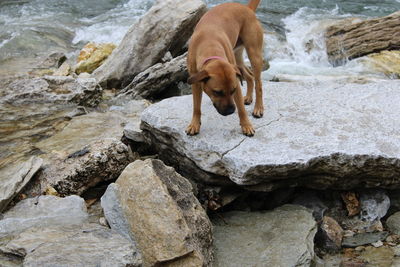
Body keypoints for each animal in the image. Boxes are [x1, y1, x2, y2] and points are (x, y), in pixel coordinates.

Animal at [186, 0, 264, 137]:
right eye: (217, 92)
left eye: (233, 90)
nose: (230, 111)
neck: (209, 43)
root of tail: (246, 8)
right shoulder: (195, 83)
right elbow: (196, 107)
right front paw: (194, 124)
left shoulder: (236, 83)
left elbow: (241, 109)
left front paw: (246, 125)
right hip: (237, 58)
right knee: (249, 76)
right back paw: (248, 97)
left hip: (254, 54)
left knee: (258, 83)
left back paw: (258, 108)